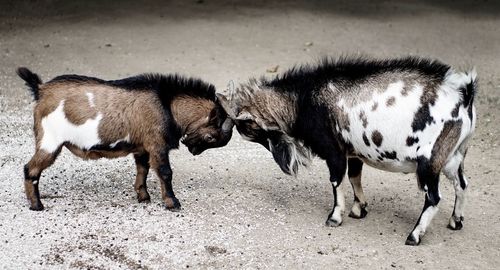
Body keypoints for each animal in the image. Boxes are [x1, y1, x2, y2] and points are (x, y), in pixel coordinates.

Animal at [16, 67, 233, 211]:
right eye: (210, 136)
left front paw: (143, 197)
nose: (193, 149)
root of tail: (41, 89)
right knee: (30, 169)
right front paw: (172, 203)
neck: (167, 103)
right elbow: (165, 172)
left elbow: (143, 169)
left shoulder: (142, 147)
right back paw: (37, 205)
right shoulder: (156, 144)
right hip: (50, 141)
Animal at [219, 57, 476, 245]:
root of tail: (464, 96)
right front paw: (358, 209)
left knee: (433, 197)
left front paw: (335, 217)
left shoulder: (333, 150)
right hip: (453, 156)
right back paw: (456, 221)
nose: (283, 163)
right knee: (461, 184)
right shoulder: (353, 152)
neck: (302, 99)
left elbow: (337, 180)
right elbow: (354, 177)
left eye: (252, 130)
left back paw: (414, 235)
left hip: (429, 162)